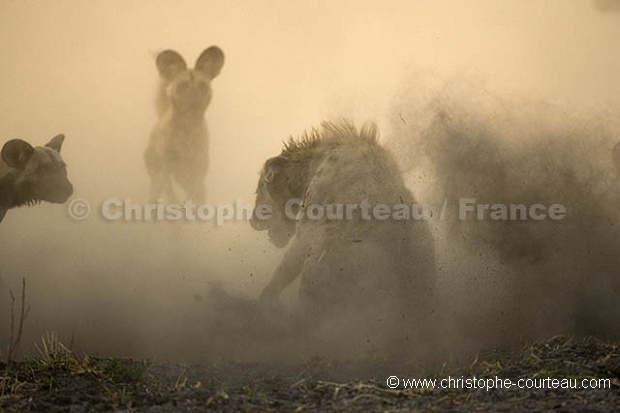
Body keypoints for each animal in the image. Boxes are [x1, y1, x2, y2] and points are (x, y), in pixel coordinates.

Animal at [144, 45, 224, 203]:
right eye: (182, 86)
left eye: (202, 86)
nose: (194, 104)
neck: (188, 129)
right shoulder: (165, 169)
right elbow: (170, 193)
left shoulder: (196, 175)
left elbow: (194, 195)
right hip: (158, 177)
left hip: (185, 178)